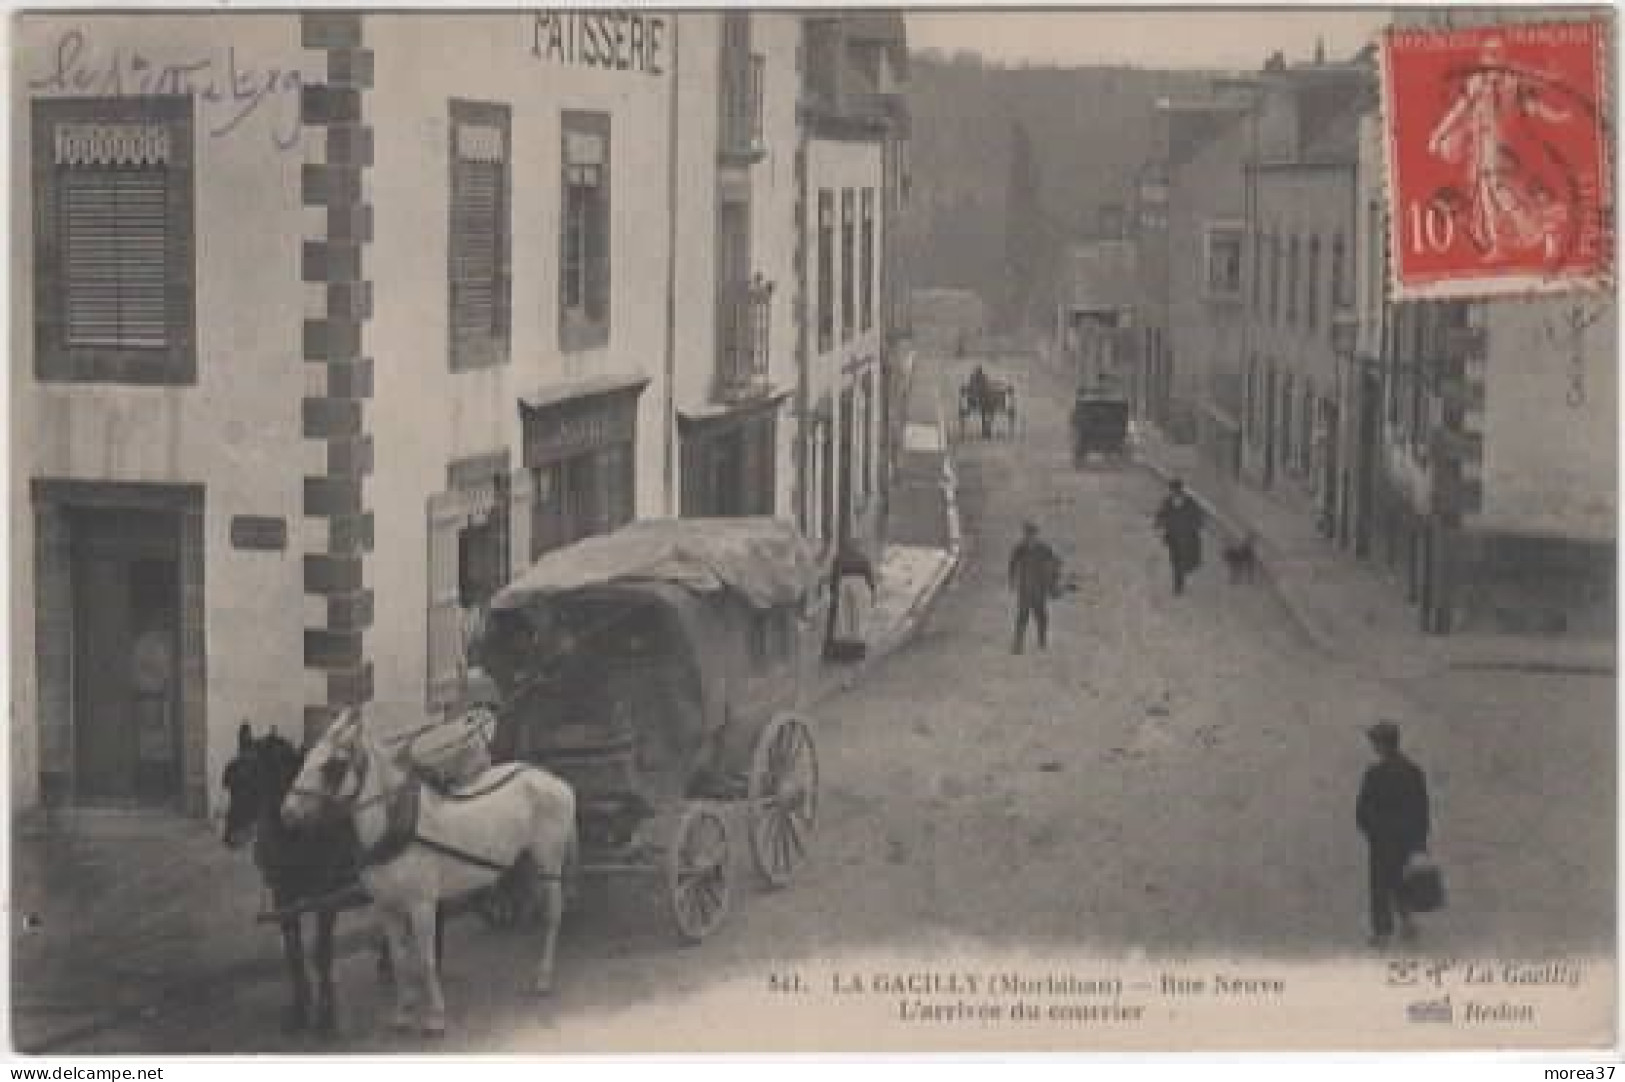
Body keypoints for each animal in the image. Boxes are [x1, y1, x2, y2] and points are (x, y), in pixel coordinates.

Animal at [224, 721, 445, 1033]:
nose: (231, 837)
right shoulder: (284, 899)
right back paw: (390, 963)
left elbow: (322, 953)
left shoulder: (325, 899)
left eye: (253, 779)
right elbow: (294, 956)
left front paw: (326, 1016)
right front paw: (299, 1010)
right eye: (229, 780)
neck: (299, 835)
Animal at [284, 708, 578, 1026]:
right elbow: (399, 959)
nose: (287, 812)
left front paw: (436, 1016)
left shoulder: (422, 904)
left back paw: (543, 977)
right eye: (307, 756)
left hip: (549, 861)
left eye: (333, 765)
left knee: (553, 914)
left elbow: (425, 959)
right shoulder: (386, 907)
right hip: (527, 860)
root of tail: (553, 779)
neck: (397, 827)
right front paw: (403, 1011)